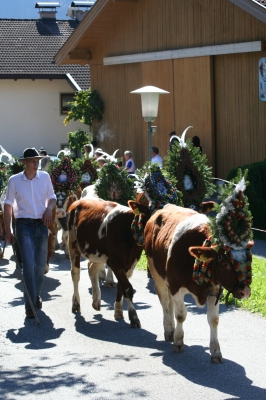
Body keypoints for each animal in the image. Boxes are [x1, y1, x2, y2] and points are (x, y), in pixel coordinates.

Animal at [67, 198, 151, 328]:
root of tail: (78, 201)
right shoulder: (114, 261)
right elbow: (127, 288)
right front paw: (133, 317)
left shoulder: (130, 263)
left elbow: (121, 286)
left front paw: (118, 311)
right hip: (73, 244)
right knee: (75, 274)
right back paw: (76, 304)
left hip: (100, 254)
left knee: (92, 268)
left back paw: (96, 301)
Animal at [144, 205, 252, 364]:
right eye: (225, 264)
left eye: (248, 260)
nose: (245, 291)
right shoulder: (176, 286)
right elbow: (181, 315)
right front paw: (178, 341)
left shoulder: (215, 290)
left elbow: (214, 320)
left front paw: (216, 351)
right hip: (157, 274)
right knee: (164, 302)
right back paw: (169, 329)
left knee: (169, 303)